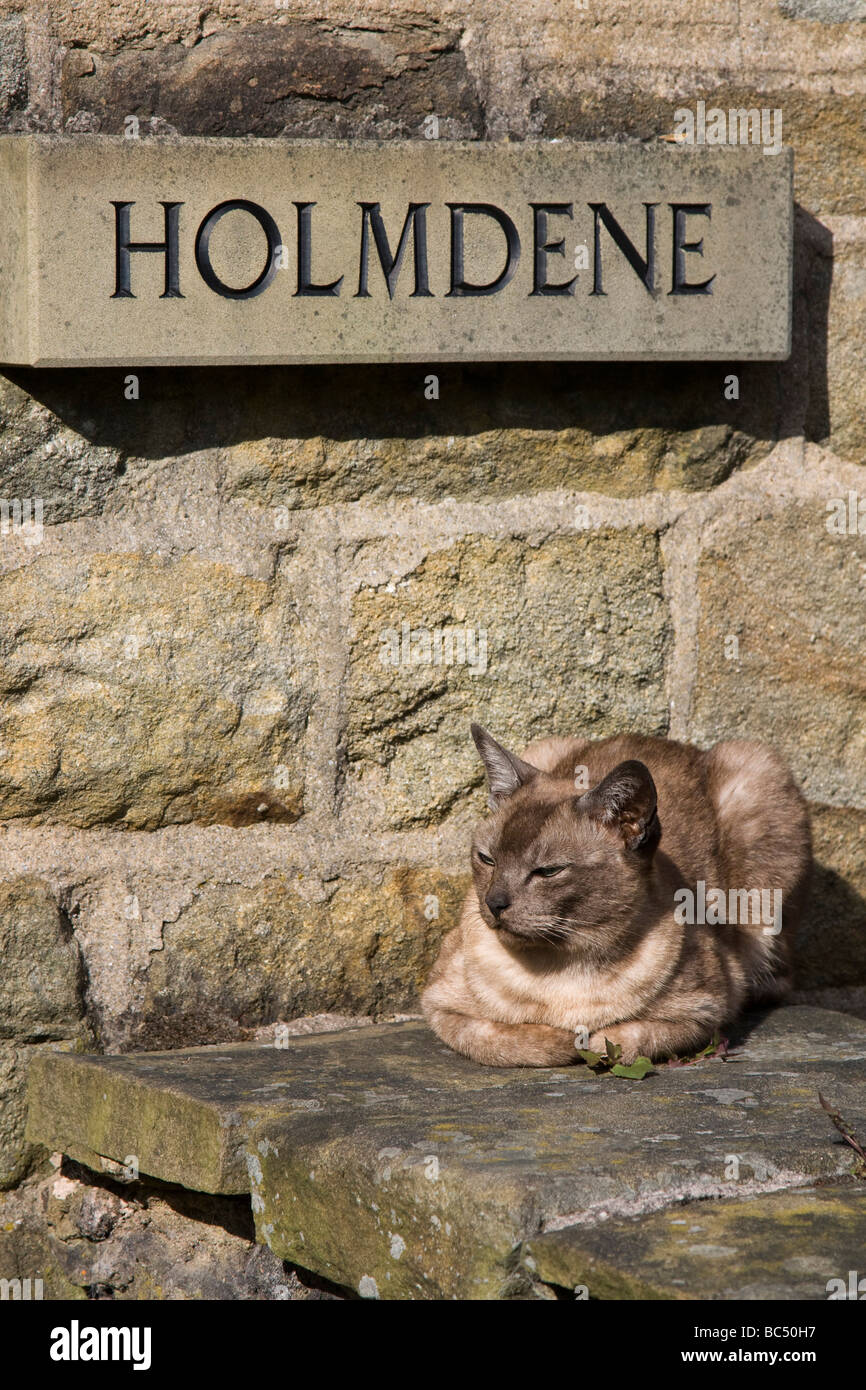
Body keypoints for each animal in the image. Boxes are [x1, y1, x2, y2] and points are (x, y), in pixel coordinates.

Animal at [422, 728, 811, 1061]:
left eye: (548, 871)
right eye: (487, 859)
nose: (494, 903)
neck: (562, 966)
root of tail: (677, 743)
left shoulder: (706, 1012)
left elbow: (627, 1039)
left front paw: (589, 1039)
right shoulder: (438, 1006)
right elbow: (504, 1041)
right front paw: (563, 1038)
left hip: (759, 778)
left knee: (778, 980)